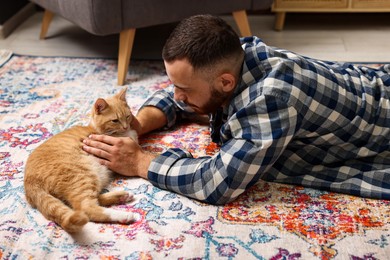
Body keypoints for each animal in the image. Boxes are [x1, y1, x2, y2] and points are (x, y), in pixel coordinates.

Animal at [24, 86, 137, 233]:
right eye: (115, 121)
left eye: (127, 116)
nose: (125, 126)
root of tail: (29, 180)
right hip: (82, 175)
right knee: (86, 208)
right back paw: (124, 215)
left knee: (91, 200)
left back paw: (122, 196)